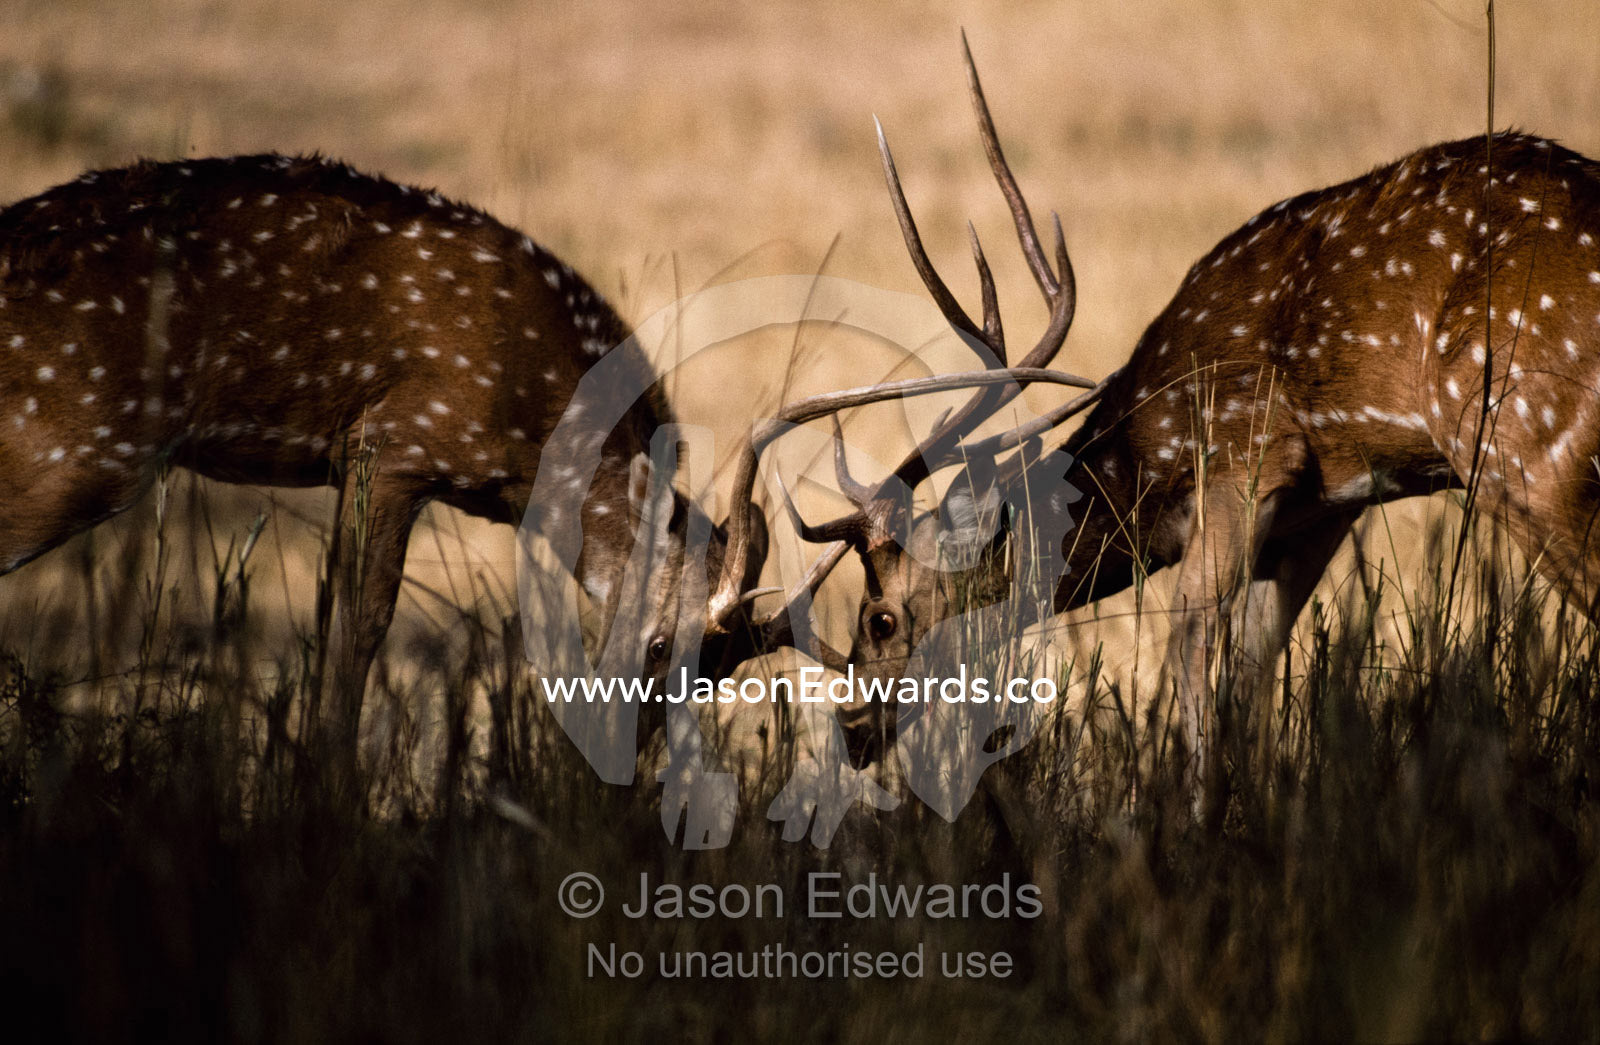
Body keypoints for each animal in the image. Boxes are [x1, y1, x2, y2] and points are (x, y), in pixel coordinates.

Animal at [0, 152, 774, 788]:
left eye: (714, 678)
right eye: (659, 643)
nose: (617, 766)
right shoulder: (393, 443)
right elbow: (361, 623)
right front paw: (329, 790)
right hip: (74, 440)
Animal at [781, 39, 1600, 786]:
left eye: (880, 616)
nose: (852, 729)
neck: (1150, 464)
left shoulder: (1243, 461)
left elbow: (1191, 658)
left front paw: (1200, 818)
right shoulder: (1322, 509)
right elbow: (1254, 675)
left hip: (1529, 445)